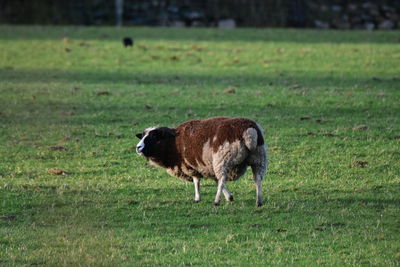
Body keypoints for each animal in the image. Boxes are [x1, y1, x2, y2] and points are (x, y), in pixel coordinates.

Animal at [135, 117, 268, 207]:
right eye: (142, 136)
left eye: (153, 137)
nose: (138, 147)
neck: (173, 143)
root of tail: (249, 132)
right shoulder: (208, 166)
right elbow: (214, 180)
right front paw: (229, 197)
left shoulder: (191, 166)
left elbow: (197, 181)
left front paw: (197, 198)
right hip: (259, 158)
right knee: (257, 179)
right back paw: (259, 201)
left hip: (223, 160)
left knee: (222, 179)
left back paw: (216, 201)